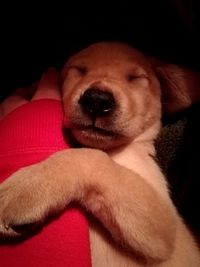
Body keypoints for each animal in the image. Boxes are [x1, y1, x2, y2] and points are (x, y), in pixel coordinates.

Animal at [0, 43, 200, 266]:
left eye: (135, 78)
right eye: (79, 70)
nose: (97, 100)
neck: (113, 151)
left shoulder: (164, 226)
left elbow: (92, 158)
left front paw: (25, 190)